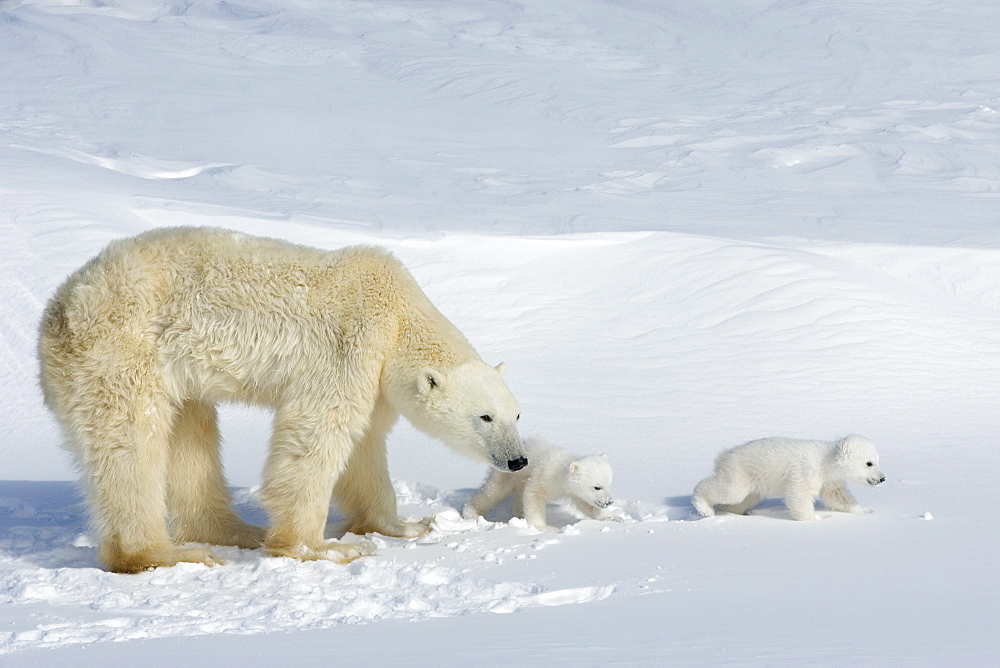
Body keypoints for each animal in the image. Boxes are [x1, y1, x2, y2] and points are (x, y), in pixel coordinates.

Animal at [38, 227, 528, 572]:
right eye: (485, 417)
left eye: (518, 414)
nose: (518, 460)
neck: (397, 314)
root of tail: (57, 310)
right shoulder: (348, 346)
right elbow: (318, 432)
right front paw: (321, 549)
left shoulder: (375, 378)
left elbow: (365, 447)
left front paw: (405, 525)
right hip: (120, 355)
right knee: (133, 446)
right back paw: (165, 554)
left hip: (171, 374)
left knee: (190, 433)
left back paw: (235, 531)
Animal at [460, 438, 616, 532]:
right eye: (597, 486)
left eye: (609, 484)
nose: (609, 502)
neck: (561, 472)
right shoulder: (544, 476)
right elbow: (533, 495)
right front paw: (545, 528)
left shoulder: (574, 491)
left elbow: (587, 504)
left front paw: (612, 517)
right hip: (508, 475)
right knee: (492, 491)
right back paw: (471, 512)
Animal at [692, 434, 888, 520]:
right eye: (869, 463)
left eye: (878, 460)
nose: (882, 478)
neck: (824, 460)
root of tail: (724, 455)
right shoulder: (806, 471)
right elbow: (798, 494)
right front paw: (814, 519)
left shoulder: (829, 480)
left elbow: (837, 495)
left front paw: (864, 511)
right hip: (740, 472)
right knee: (730, 491)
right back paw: (705, 508)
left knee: (740, 500)